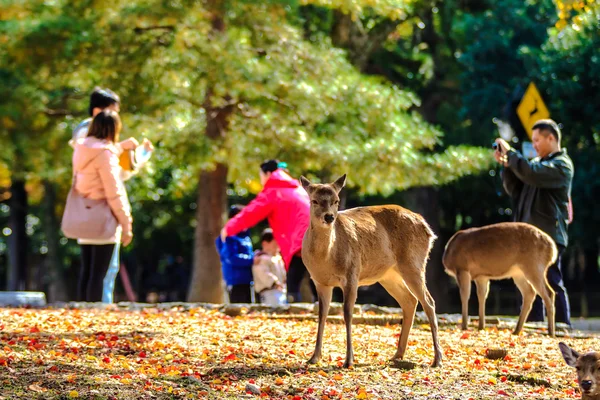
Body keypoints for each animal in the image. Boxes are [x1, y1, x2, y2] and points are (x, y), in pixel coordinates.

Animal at [298, 175, 440, 368]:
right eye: (314, 200)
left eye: (336, 200)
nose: (329, 217)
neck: (325, 259)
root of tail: (428, 229)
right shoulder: (320, 281)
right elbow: (321, 315)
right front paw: (313, 357)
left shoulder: (352, 273)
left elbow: (347, 313)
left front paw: (349, 360)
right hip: (389, 275)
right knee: (410, 300)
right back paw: (397, 355)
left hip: (414, 264)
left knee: (429, 302)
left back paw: (437, 359)